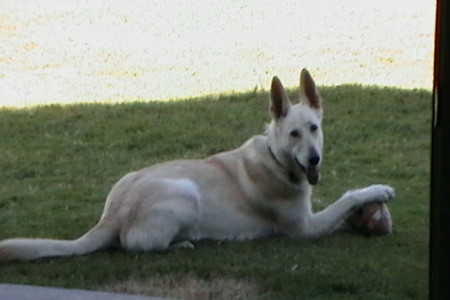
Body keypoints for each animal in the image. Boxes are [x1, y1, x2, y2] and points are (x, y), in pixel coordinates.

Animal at [0, 69, 394, 262]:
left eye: (314, 129)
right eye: (293, 134)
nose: (314, 159)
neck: (275, 158)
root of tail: (113, 214)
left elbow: (343, 211)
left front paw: (368, 218)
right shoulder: (306, 228)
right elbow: (346, 199)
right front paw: (377, 192)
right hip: (184, 193)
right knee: (136, 245)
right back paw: (183, 244)